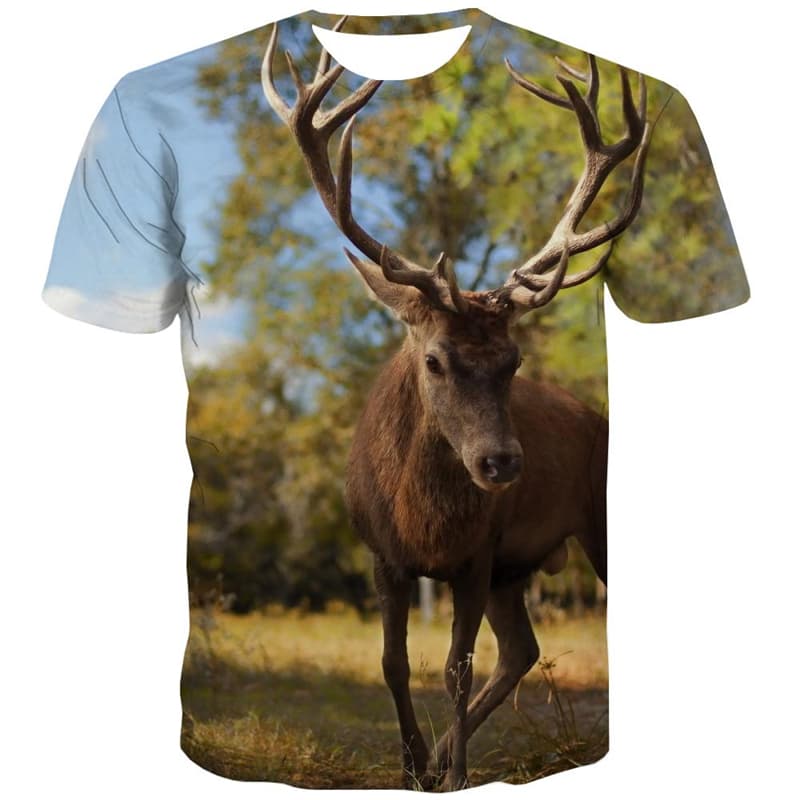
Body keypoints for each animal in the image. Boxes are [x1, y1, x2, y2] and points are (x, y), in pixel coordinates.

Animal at [262, 17, 651, 791]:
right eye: (435, 359)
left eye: (513, 362)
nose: (501, 464)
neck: (426, 526)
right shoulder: (383, 555)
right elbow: (392, 663)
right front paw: (415, 765)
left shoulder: (477, 555)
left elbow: (455, 670)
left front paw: (457, 776)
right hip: (514, 570)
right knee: (523, 649)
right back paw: (441, 751)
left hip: (581, 525)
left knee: (521, 649)